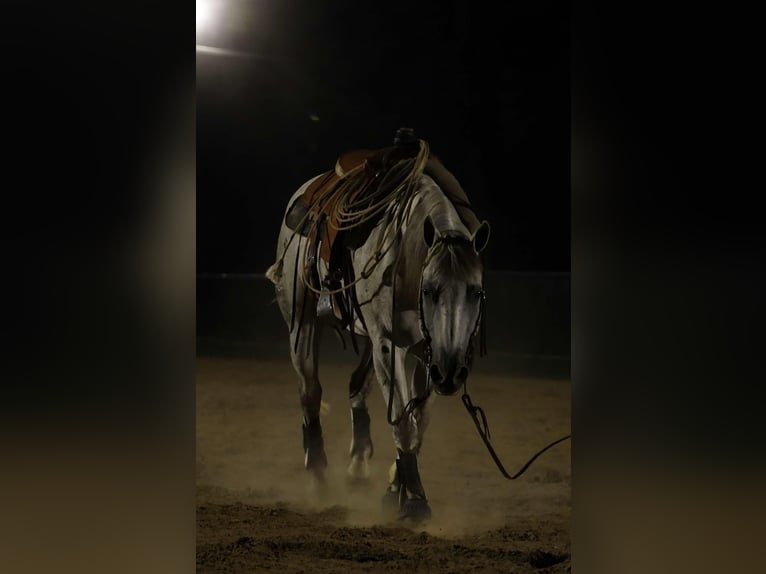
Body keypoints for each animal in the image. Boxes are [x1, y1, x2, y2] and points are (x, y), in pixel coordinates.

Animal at [266, 135, 490, 521]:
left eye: (476, 291)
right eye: (430, 290)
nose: (451, 375)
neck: (408, 256)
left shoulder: (425, 353)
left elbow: (418, 420)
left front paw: (396, 489)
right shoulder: (389, 344)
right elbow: (402, 419)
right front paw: (415, 500)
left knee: (357, 385)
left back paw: (358, 464)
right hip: (302, 324)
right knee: (310, 392)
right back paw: (318, 476)